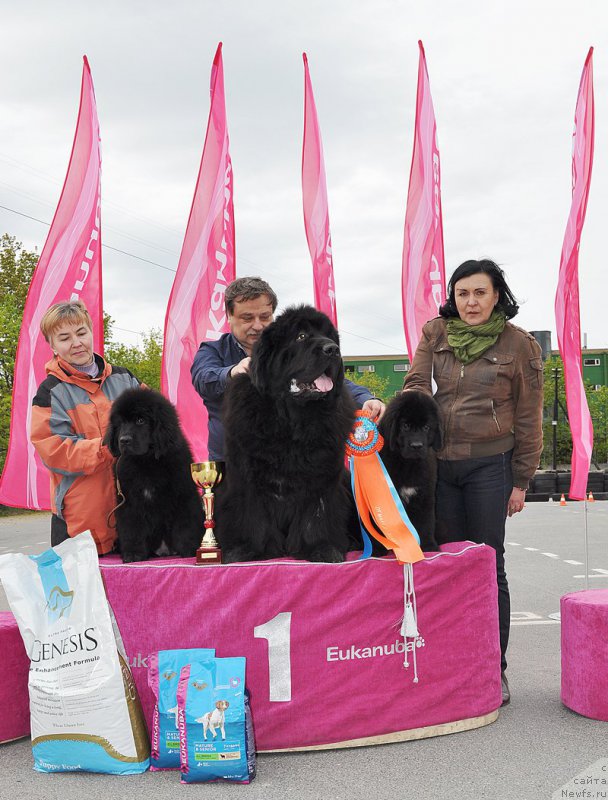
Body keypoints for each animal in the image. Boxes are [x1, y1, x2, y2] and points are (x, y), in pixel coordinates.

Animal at [105, 388, 203, 564]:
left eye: (140, 420)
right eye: (120, 423)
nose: (124, 440)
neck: (147, 462)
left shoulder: (183, 495)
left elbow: (185, 525)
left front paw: (189, 549)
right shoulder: (129, 502)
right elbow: (132, 529)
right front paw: (133, 554)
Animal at [216, 304, 356, 564]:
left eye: (330, 337)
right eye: (301, 336)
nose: (332, 349)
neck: (291, 422)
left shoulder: (321, 481)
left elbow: (316, 517)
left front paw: (322, 548)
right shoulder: (246, 478)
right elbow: (250, 515)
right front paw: (244, 550)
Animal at [376, 390, 442, 552]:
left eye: (426, 427)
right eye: (405, 426)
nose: (416, 446)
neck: (408, 464)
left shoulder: (424, 495)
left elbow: (426, 522)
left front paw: (429, 546)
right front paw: (379, 549)